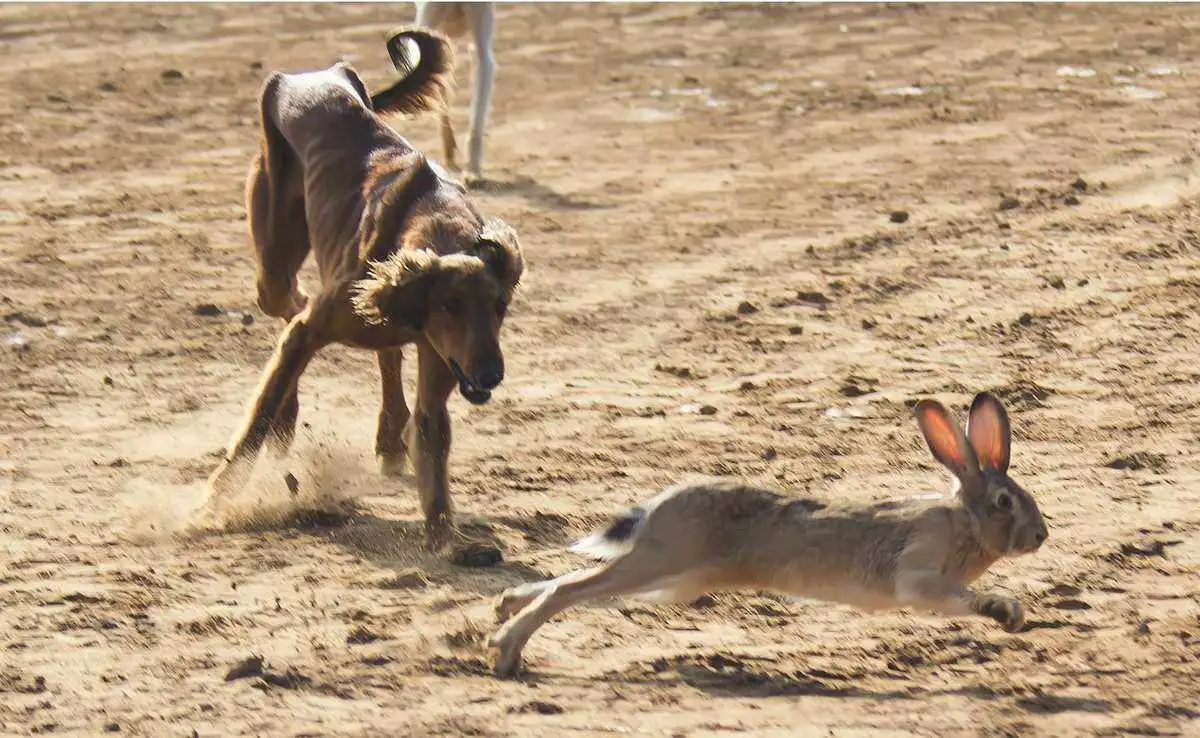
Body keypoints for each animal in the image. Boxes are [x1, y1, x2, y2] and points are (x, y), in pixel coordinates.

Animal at [204, 28, 523, 549]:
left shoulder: (440, 356)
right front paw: (213, 499)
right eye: (450, 304)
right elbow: (259, 413)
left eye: (500, 306)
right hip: (274, 264)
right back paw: (289, 419)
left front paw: (444, 536)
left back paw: (388, 437)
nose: (490, 374)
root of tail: (316, 75)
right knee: (289, 307)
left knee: (383, 354)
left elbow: (431, 435)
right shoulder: (317, 326)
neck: (436, 221)